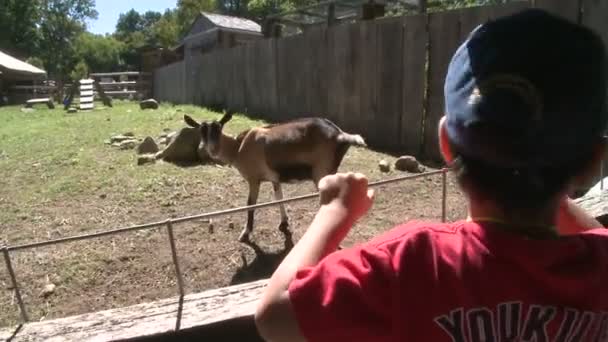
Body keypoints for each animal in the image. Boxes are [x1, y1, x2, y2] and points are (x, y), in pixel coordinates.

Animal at [183, 112, 368, 243]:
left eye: (219, 127)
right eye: (201, 130)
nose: (211, 149)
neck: (238, 148)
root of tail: (340, 135)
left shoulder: (254, 179)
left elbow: (250, 204)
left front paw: (245, 233)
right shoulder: (274, 179)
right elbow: (279, 197)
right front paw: (284, 223)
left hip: (321, 172)